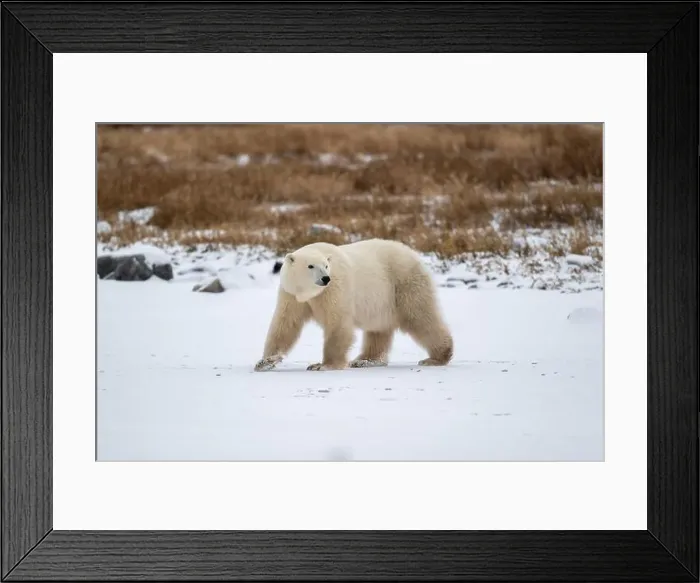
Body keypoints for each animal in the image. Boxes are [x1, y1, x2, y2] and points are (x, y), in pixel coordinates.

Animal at [254, 238, 453, 372]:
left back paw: (436, 358)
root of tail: (414, 254)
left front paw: (323, 365)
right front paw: (265, 362)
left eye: (326, 266)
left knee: (420, 316)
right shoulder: (292, 295)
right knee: (378, 329)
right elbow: (286, 324)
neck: (310, 294)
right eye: (310, 266)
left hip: (404, 283)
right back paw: (365, 360)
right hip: (383, 299)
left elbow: (337, 323)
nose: (325, 278)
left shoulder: (335, 289)